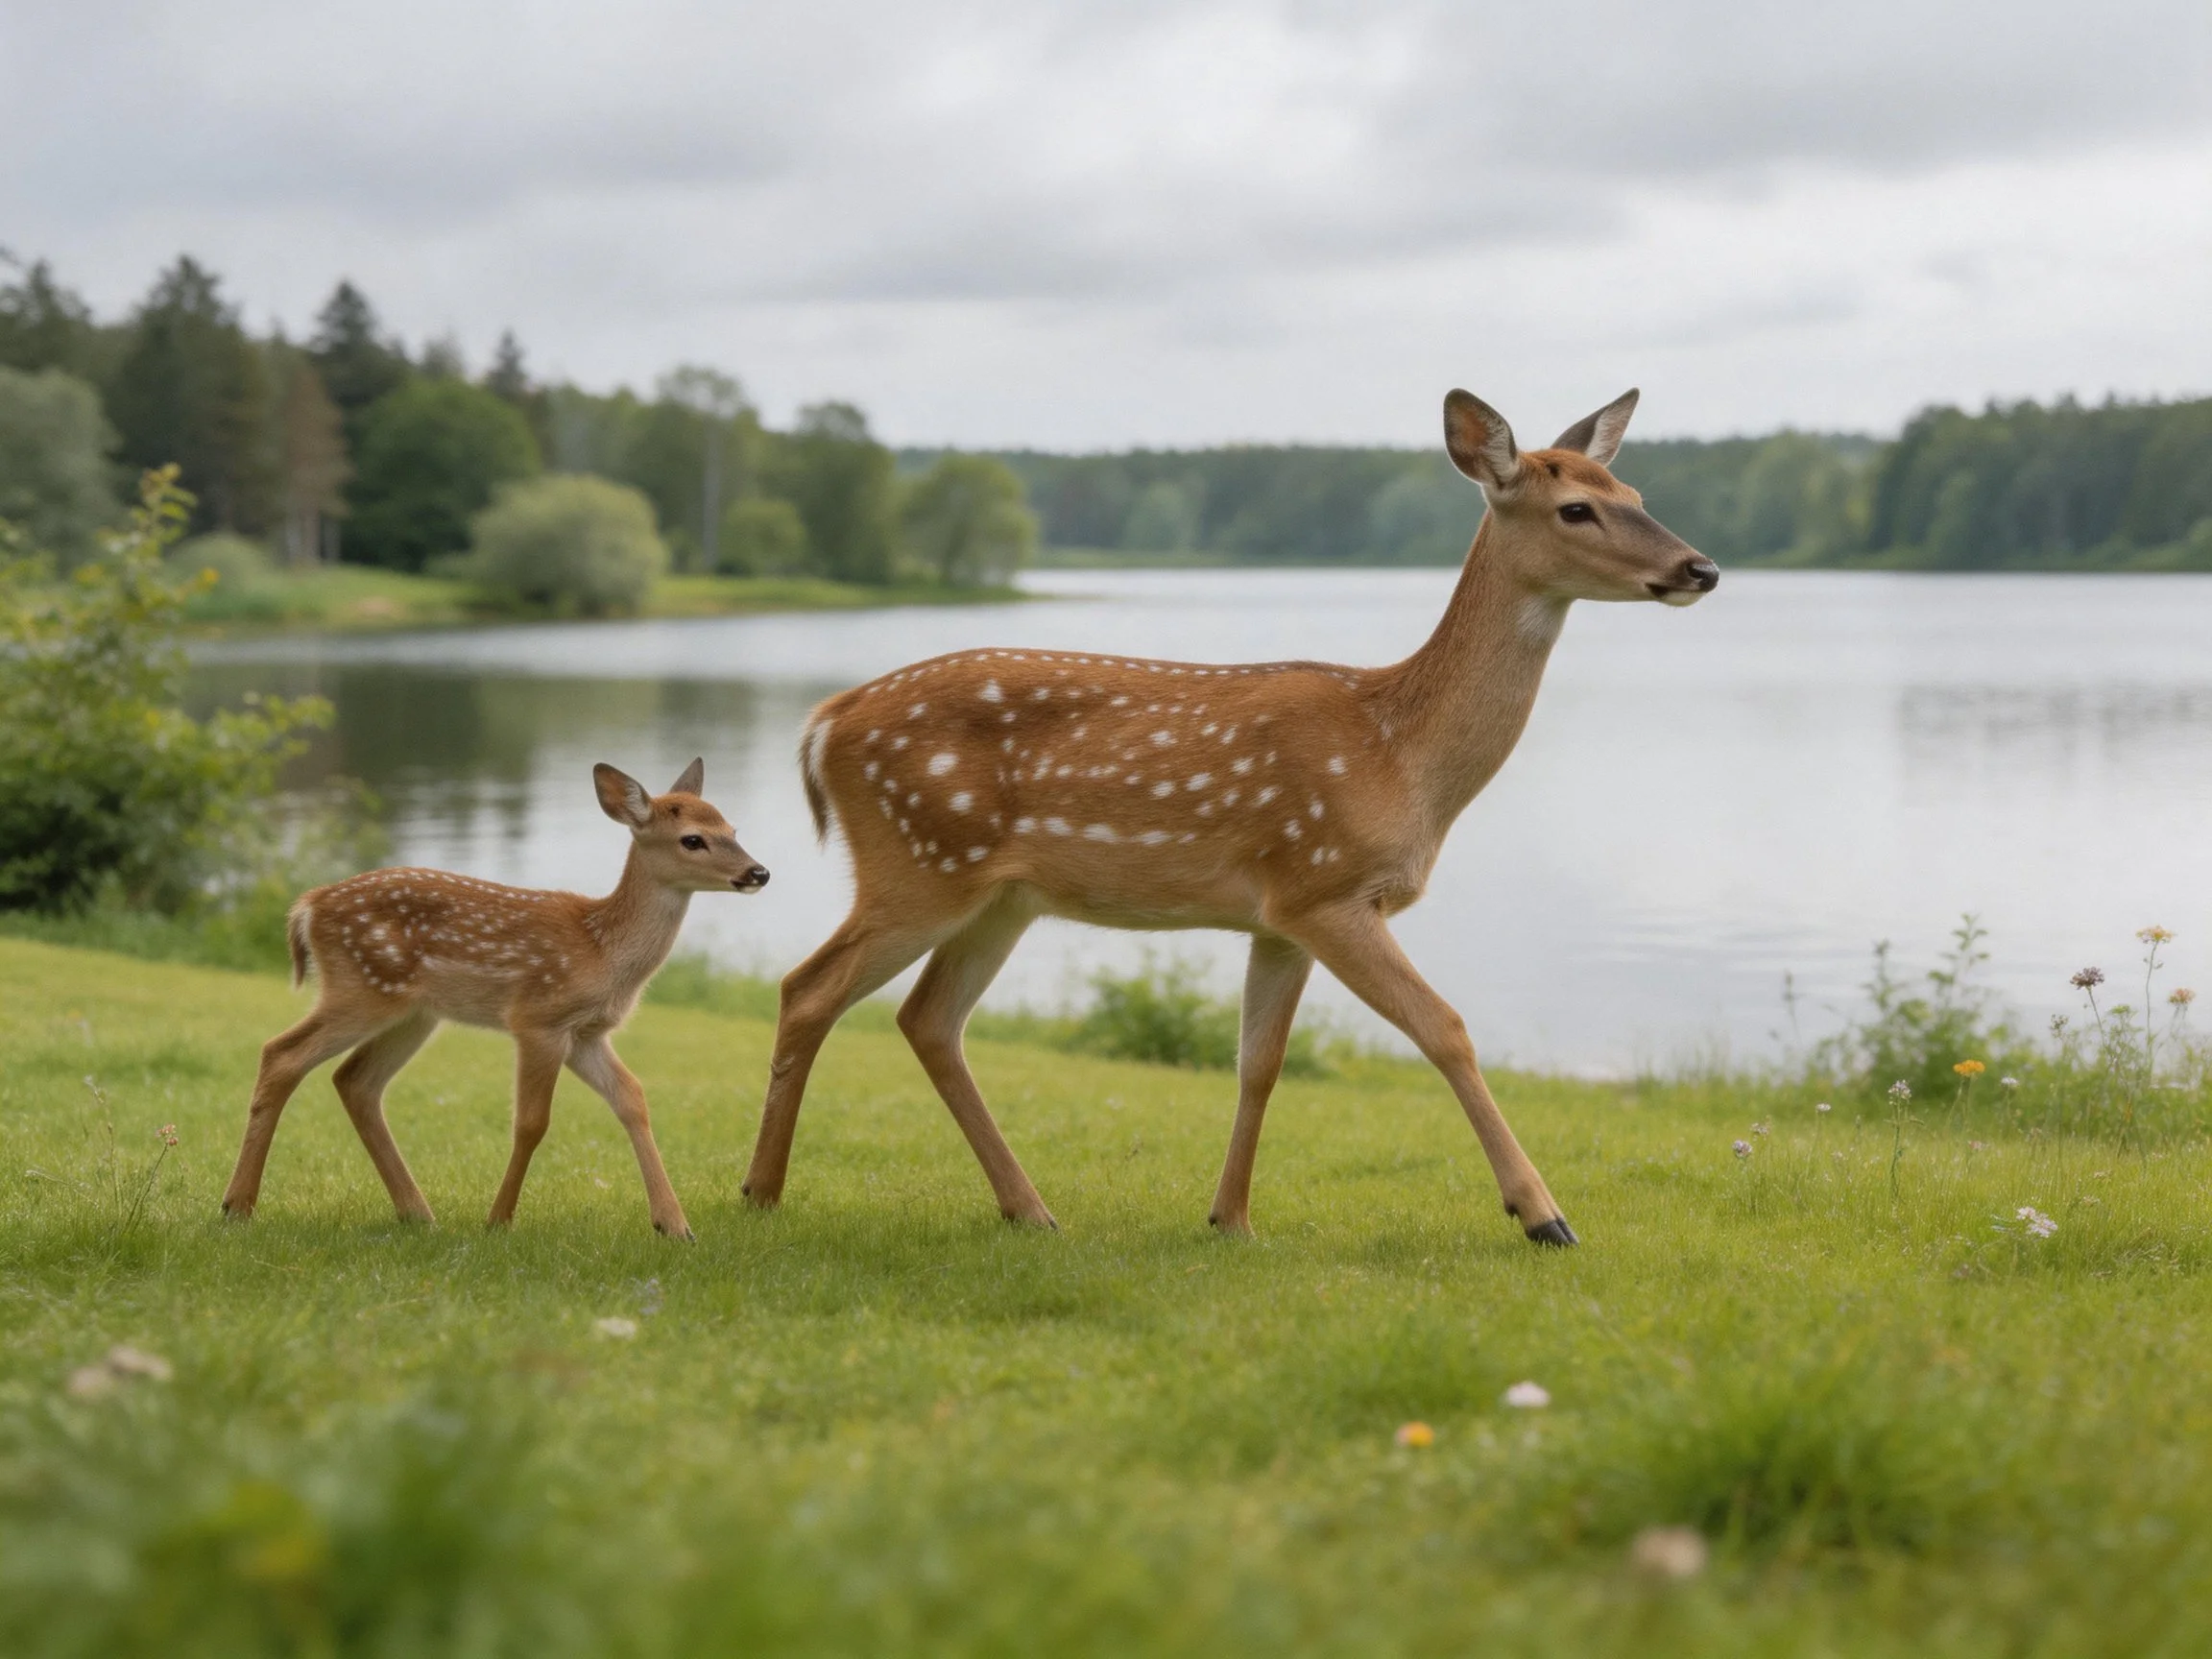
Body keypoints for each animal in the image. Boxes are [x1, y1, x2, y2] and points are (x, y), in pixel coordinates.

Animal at [220, 759, 769, 1238]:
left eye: (733, 828)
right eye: (692, 839)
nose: (759, 872)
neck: (601, 950)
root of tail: (307, 907)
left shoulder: (586, 1033)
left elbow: (633, 1099)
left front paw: (674, 1226)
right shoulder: (538, 1018)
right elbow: (531, 1123)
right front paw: (499, 1220)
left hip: (413, 1013)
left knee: (354, 1080)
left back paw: (418, 1213)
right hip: (360, 989)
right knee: (282, 1054)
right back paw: (237, 1206)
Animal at [743, 387, 1716, 1247]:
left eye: (1636, 495)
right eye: (1576, 509)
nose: (1700, 568)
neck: (1400, 755)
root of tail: (823, 723)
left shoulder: (1279, 916)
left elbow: (1259, 1064)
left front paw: (1232, 1219)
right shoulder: (1327, 885)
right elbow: (1446, 1029)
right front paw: (1544, 1215)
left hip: (999, 895)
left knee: (927, 1019)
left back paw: (1030, 1209)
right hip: (917, 861)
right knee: (809, 988)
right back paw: (762, 1191)